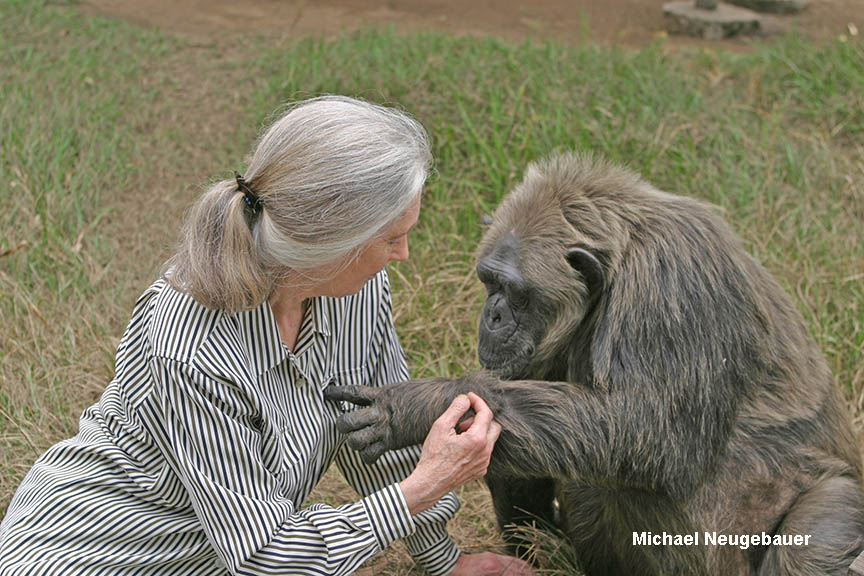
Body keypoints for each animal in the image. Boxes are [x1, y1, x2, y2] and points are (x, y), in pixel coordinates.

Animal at [325, 153, 864, 576]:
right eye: (488, 281)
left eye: (516, 293)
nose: (492, 314)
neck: (619, 269)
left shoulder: (672, 283)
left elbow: (645, 424)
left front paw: (412, 406)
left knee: (809, 545)